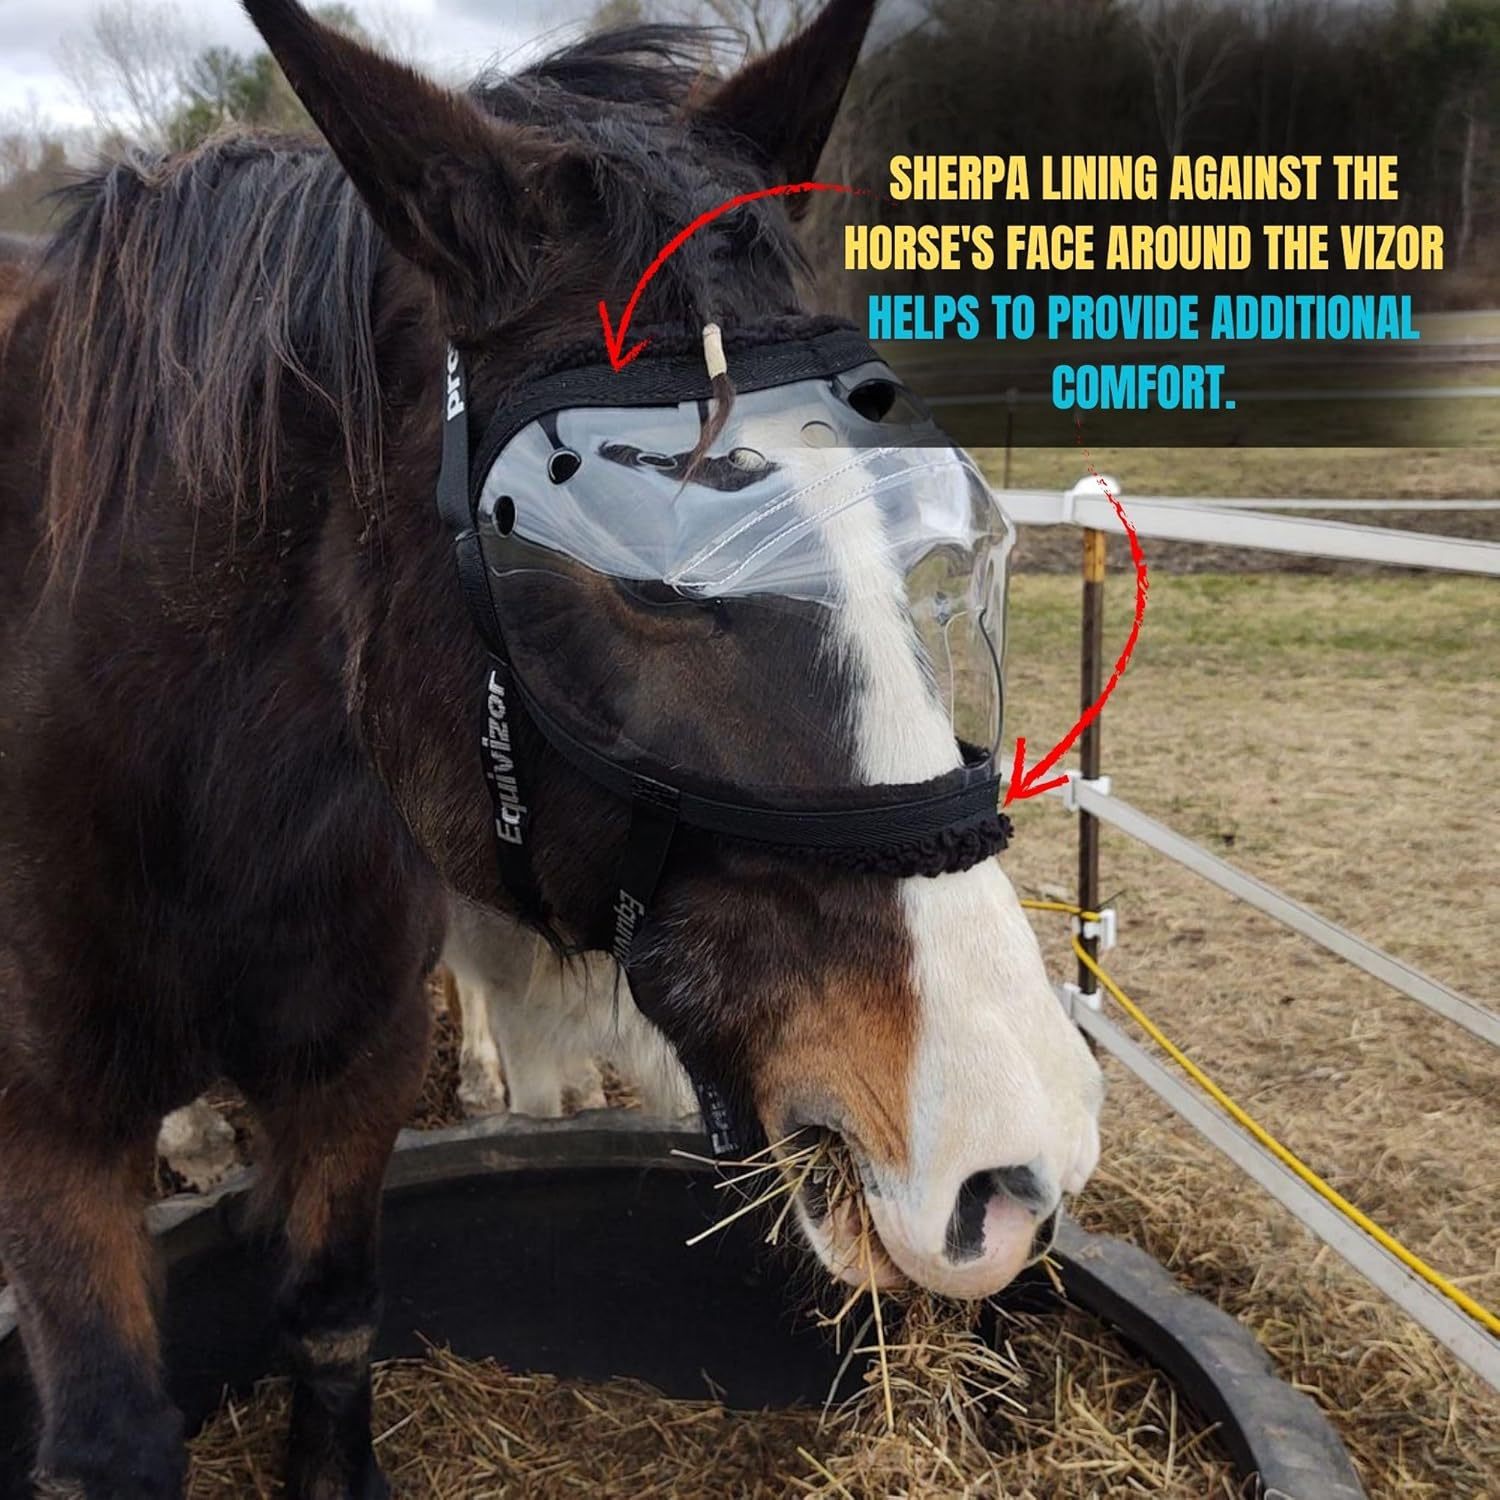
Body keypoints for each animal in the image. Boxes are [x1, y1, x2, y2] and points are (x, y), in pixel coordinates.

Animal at [0, 0, 1103, 1494]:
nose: (1016, 1150)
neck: (190, 798)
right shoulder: (46, 1133)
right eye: (644, 577)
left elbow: (332, 1320)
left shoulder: (354, 1074)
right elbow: (112, 1435)